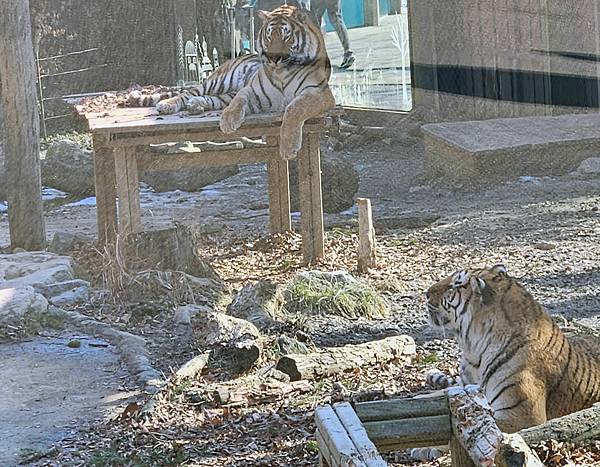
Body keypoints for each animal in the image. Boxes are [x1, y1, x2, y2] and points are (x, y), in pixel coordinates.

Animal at [125, 2, 336, 162]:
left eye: (286, 34)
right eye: (269, 35)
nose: (273, 58)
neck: (282, 71)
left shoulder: (319, 93)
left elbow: (294, 108)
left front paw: (289, 147)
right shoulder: (251, 90)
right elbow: (238, 102)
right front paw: (228, 121)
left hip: (223, 93)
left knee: (210, 99)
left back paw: (196, 106)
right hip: (217, 81)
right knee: (188, 93)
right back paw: (168, 105)